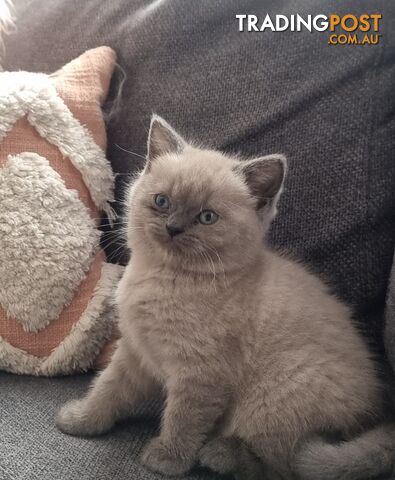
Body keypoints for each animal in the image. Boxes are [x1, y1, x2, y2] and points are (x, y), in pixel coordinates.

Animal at [57, 116, 394, 480]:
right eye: (162, 201)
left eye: (207, 217)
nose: (174, 227)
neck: (165, 278)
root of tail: (375, 415)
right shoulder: (135, 352)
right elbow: (108, 389)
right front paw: (81, 419)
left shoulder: (202, 373)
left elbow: (184, 418)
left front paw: (168, 459)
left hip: (273, 396)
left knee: (284, 463)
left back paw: (219, 454)